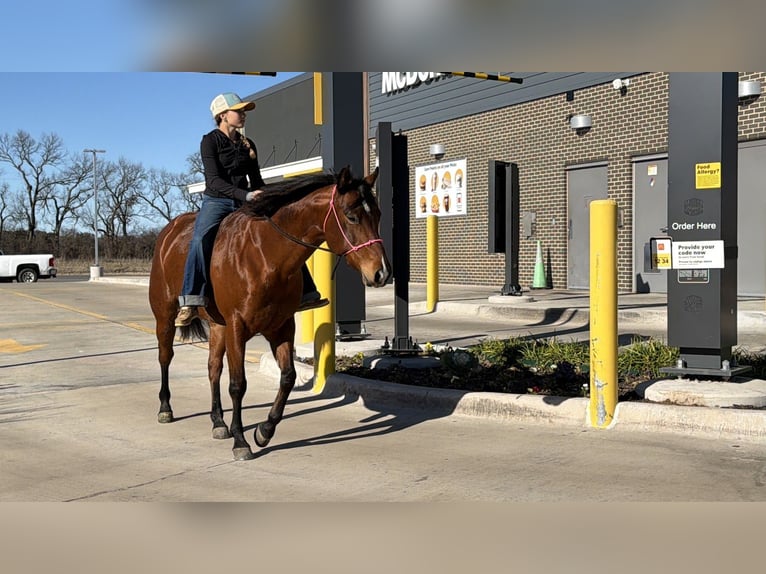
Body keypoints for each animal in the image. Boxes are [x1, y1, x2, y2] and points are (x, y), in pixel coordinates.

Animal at [148, 166, 391, 460]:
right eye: (352, 216)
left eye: (377, 215)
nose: (381, 273)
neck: (264, 255)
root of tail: (168, 232)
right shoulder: (237, 327)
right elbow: (238, 384)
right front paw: (241, 441)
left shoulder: (281, 327)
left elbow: (287, 378)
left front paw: (264, 431)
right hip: (165, 317)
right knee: (165, 358)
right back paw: (165, 408)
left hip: (217, 326)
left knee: (213, 368)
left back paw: (218, 422)